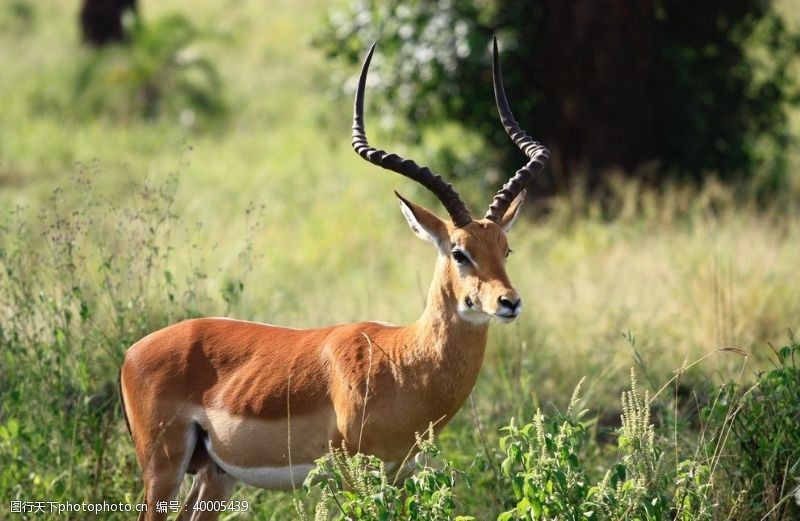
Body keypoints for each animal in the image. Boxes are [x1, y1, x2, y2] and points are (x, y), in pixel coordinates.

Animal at [120, 38, 552, 516]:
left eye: (505, 250)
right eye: (460, 253)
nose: (509, 302)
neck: (403, 359)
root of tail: (132, 352)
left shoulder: (401, 472)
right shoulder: (353, 474)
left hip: (216, 474)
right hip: (163, 468)